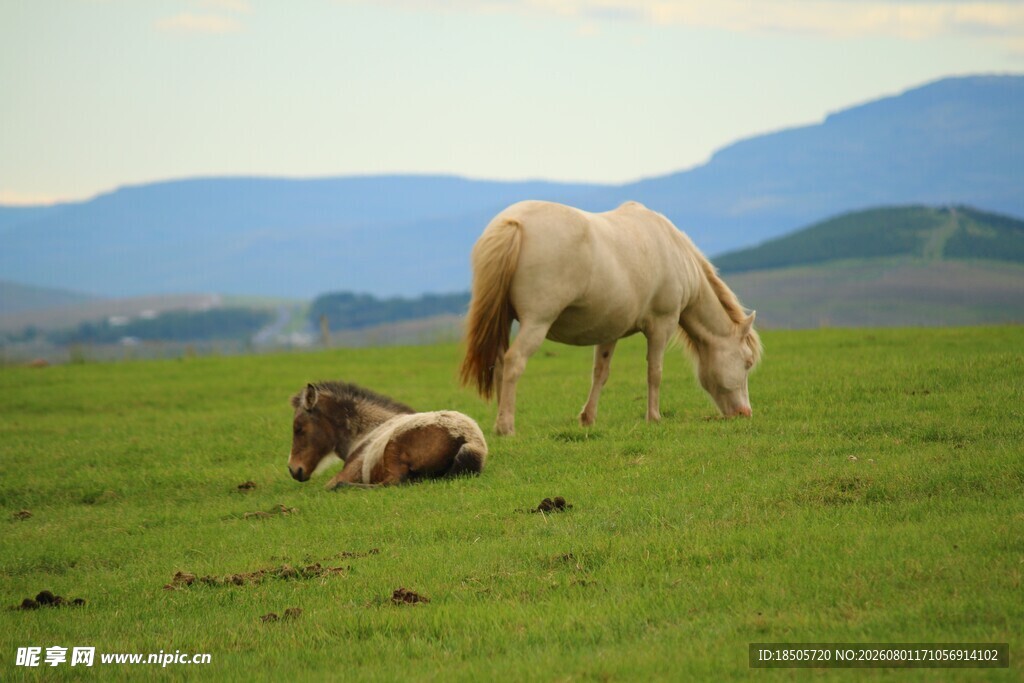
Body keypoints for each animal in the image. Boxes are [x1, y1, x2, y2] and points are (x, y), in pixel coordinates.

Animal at [287, 381, 487, 488]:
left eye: (298, 428)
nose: (293, 469)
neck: (365, 434)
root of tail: (468, 440)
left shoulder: (347, 474)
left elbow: (330, 485)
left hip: (393, 450)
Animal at [460, 200, 762, 436]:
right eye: (747, 362)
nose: (745, 413)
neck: (673, 250)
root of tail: (513, 222)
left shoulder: (609, 331)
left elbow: (600, 373)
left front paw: (588, 418)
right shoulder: (661, 326)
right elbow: (655, 372)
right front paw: (654, 417)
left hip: (504, 320)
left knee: (499, 365)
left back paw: (500, 418)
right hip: (536, 323)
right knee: (514, 362)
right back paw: (506, 427)